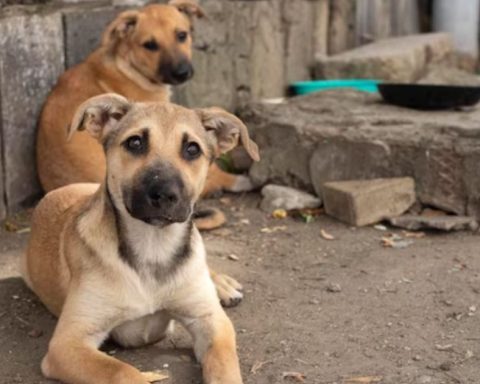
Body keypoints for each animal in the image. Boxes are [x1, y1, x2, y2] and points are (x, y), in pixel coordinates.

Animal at [21, 94, 258, 384]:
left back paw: (222, 284)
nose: (165, 194)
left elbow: (224, 367)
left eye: (192, 149)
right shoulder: (68, 343)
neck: (153, 247)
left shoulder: (212, 322)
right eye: (135, 142)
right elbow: (122, 371)